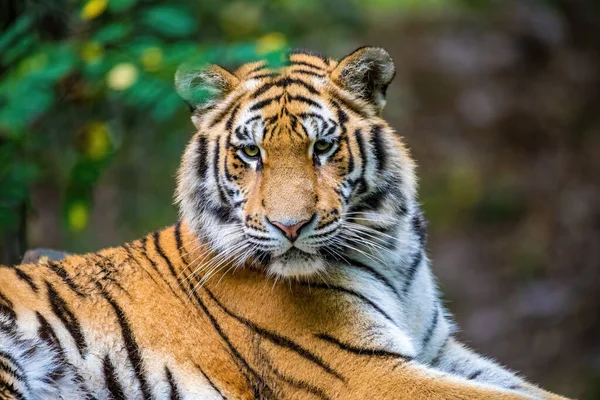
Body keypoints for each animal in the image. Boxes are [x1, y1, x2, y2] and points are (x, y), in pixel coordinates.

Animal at [0, 47, 568, 400]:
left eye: (323, 146)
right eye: (251, 152)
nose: (290, 226)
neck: (389, 250)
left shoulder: (437, 349)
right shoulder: (360, 370)